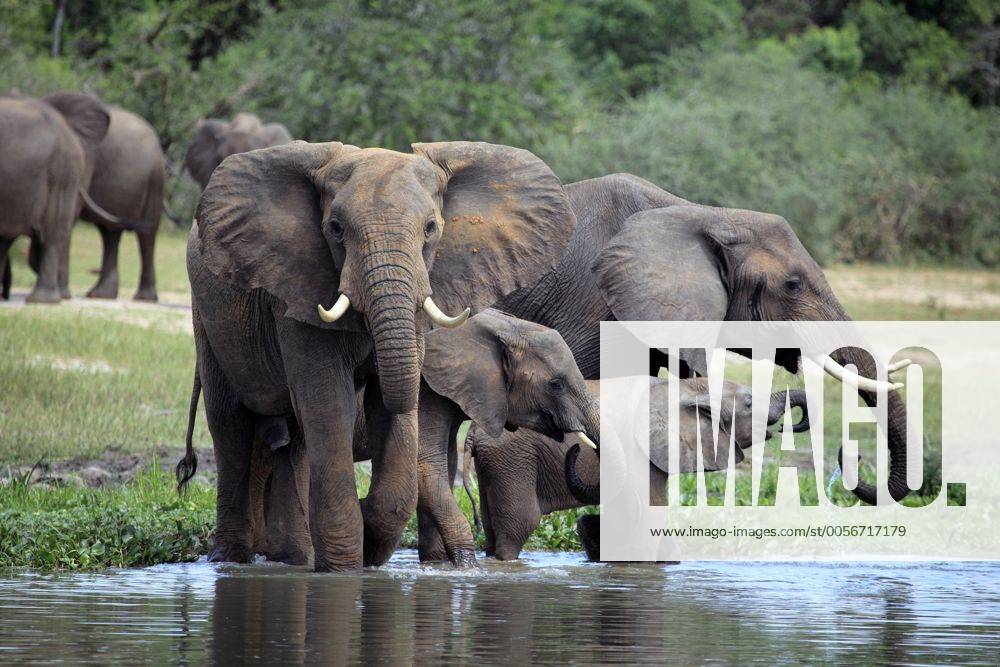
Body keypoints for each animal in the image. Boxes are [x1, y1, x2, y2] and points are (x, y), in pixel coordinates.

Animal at [176, 140, 576, 571]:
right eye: (335, 229)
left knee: (291, 441)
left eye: (431, 228)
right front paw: (343, 569)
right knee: (230, 425)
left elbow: (390, 410)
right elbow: (330, 404)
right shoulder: (297, 288)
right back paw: (230, 561)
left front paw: (369, 537)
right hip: (208, 320)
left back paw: (294, 559)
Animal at [466, 377, 808, 561]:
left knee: (493, 527)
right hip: (512, 458)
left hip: (496, 463)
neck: (687, 386)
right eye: (749, 404)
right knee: (520, 525)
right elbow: (651, 514)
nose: (789, 424)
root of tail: (474, 432)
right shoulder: (640, 452)